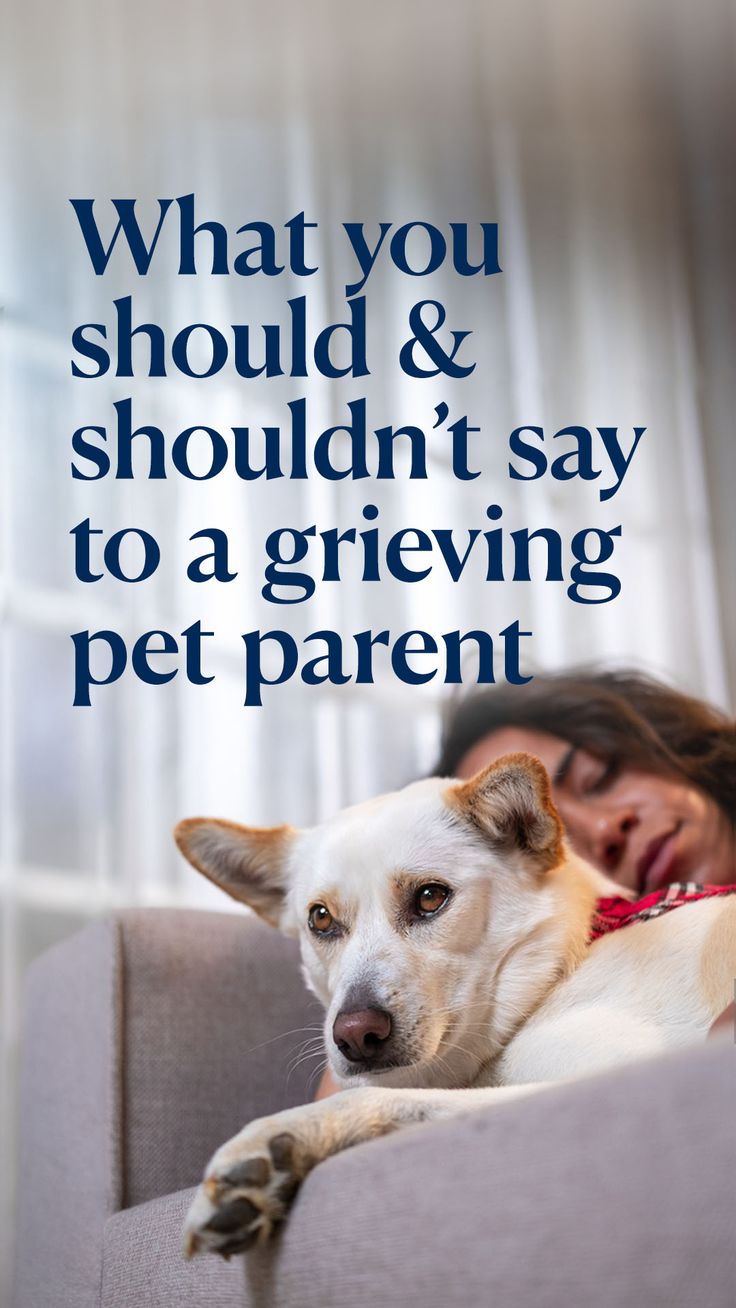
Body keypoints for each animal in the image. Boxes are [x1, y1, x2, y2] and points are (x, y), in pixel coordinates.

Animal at [173, 758, 736, 1255]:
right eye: (320, 919)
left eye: (429, 897)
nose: (355, 1034)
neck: (562, 966)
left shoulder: (605, 1073)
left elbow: (383, 1097)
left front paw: (275, 1140)